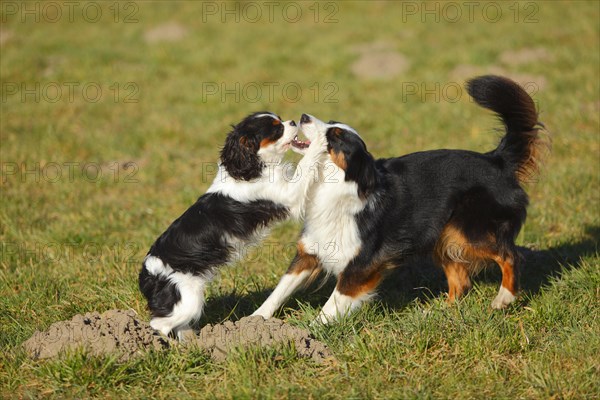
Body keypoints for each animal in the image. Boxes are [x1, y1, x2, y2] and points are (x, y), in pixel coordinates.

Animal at [139, 110, 328, 338]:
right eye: (276, 129)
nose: (292, 122)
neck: (253, 168)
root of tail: (148, 272)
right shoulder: (288, 195)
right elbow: (306, 164)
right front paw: (320, 142)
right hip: (186, 298)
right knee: (159, 324)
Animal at [253, 76, 548, 324]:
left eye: (334, 137)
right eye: (330, 122)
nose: (303, 116)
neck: (342, 185)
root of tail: (497, 160)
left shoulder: (361, 265)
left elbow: (332, 303)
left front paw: (311, 331)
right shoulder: (310, 252)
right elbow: (279, 290)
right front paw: (254, 322)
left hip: (468, 230)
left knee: (510, 255)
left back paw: (504, 298)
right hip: (445, 235)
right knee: (461, 281)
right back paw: (436, 313)